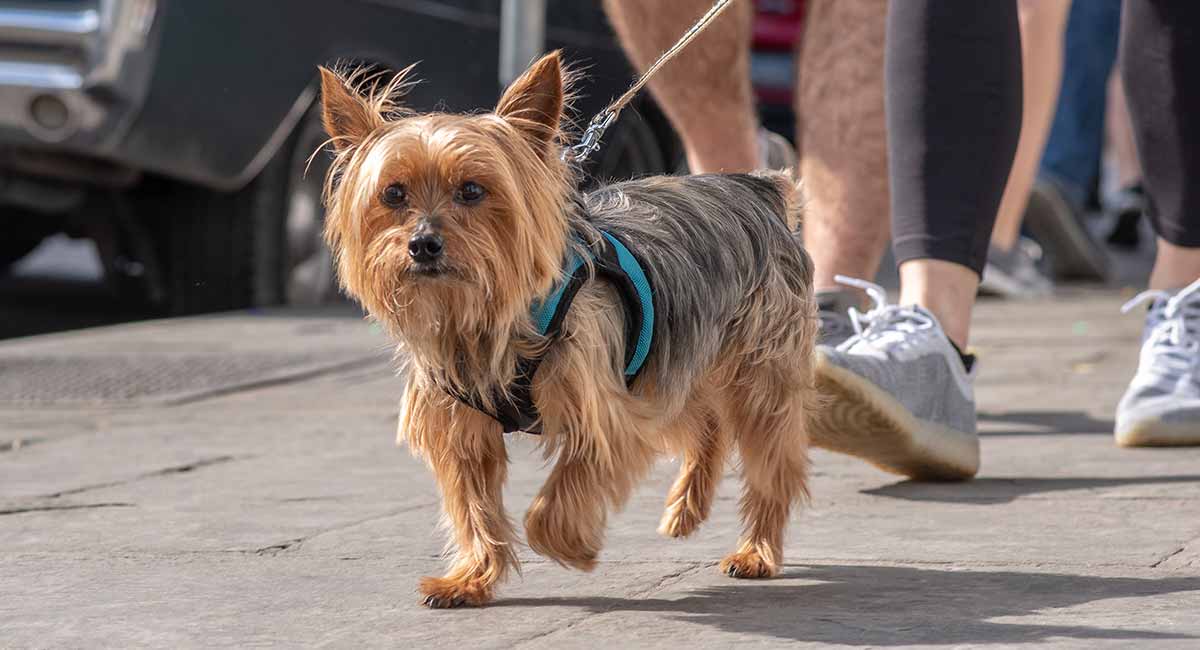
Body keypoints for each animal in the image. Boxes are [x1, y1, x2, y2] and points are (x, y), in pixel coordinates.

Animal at [319, 52, 820, 611]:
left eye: (471, 190)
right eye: (393, 194)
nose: (423, 244)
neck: (484, 321)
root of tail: (758, 188)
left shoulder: (607, 410)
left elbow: (556, 498)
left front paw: (573, 548)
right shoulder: (461, 428)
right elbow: (473, 507)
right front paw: (471, 578)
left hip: (758, 371)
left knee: (770, 461)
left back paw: (757, 551)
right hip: (673, 363)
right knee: (705, 425)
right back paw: (687, 507)